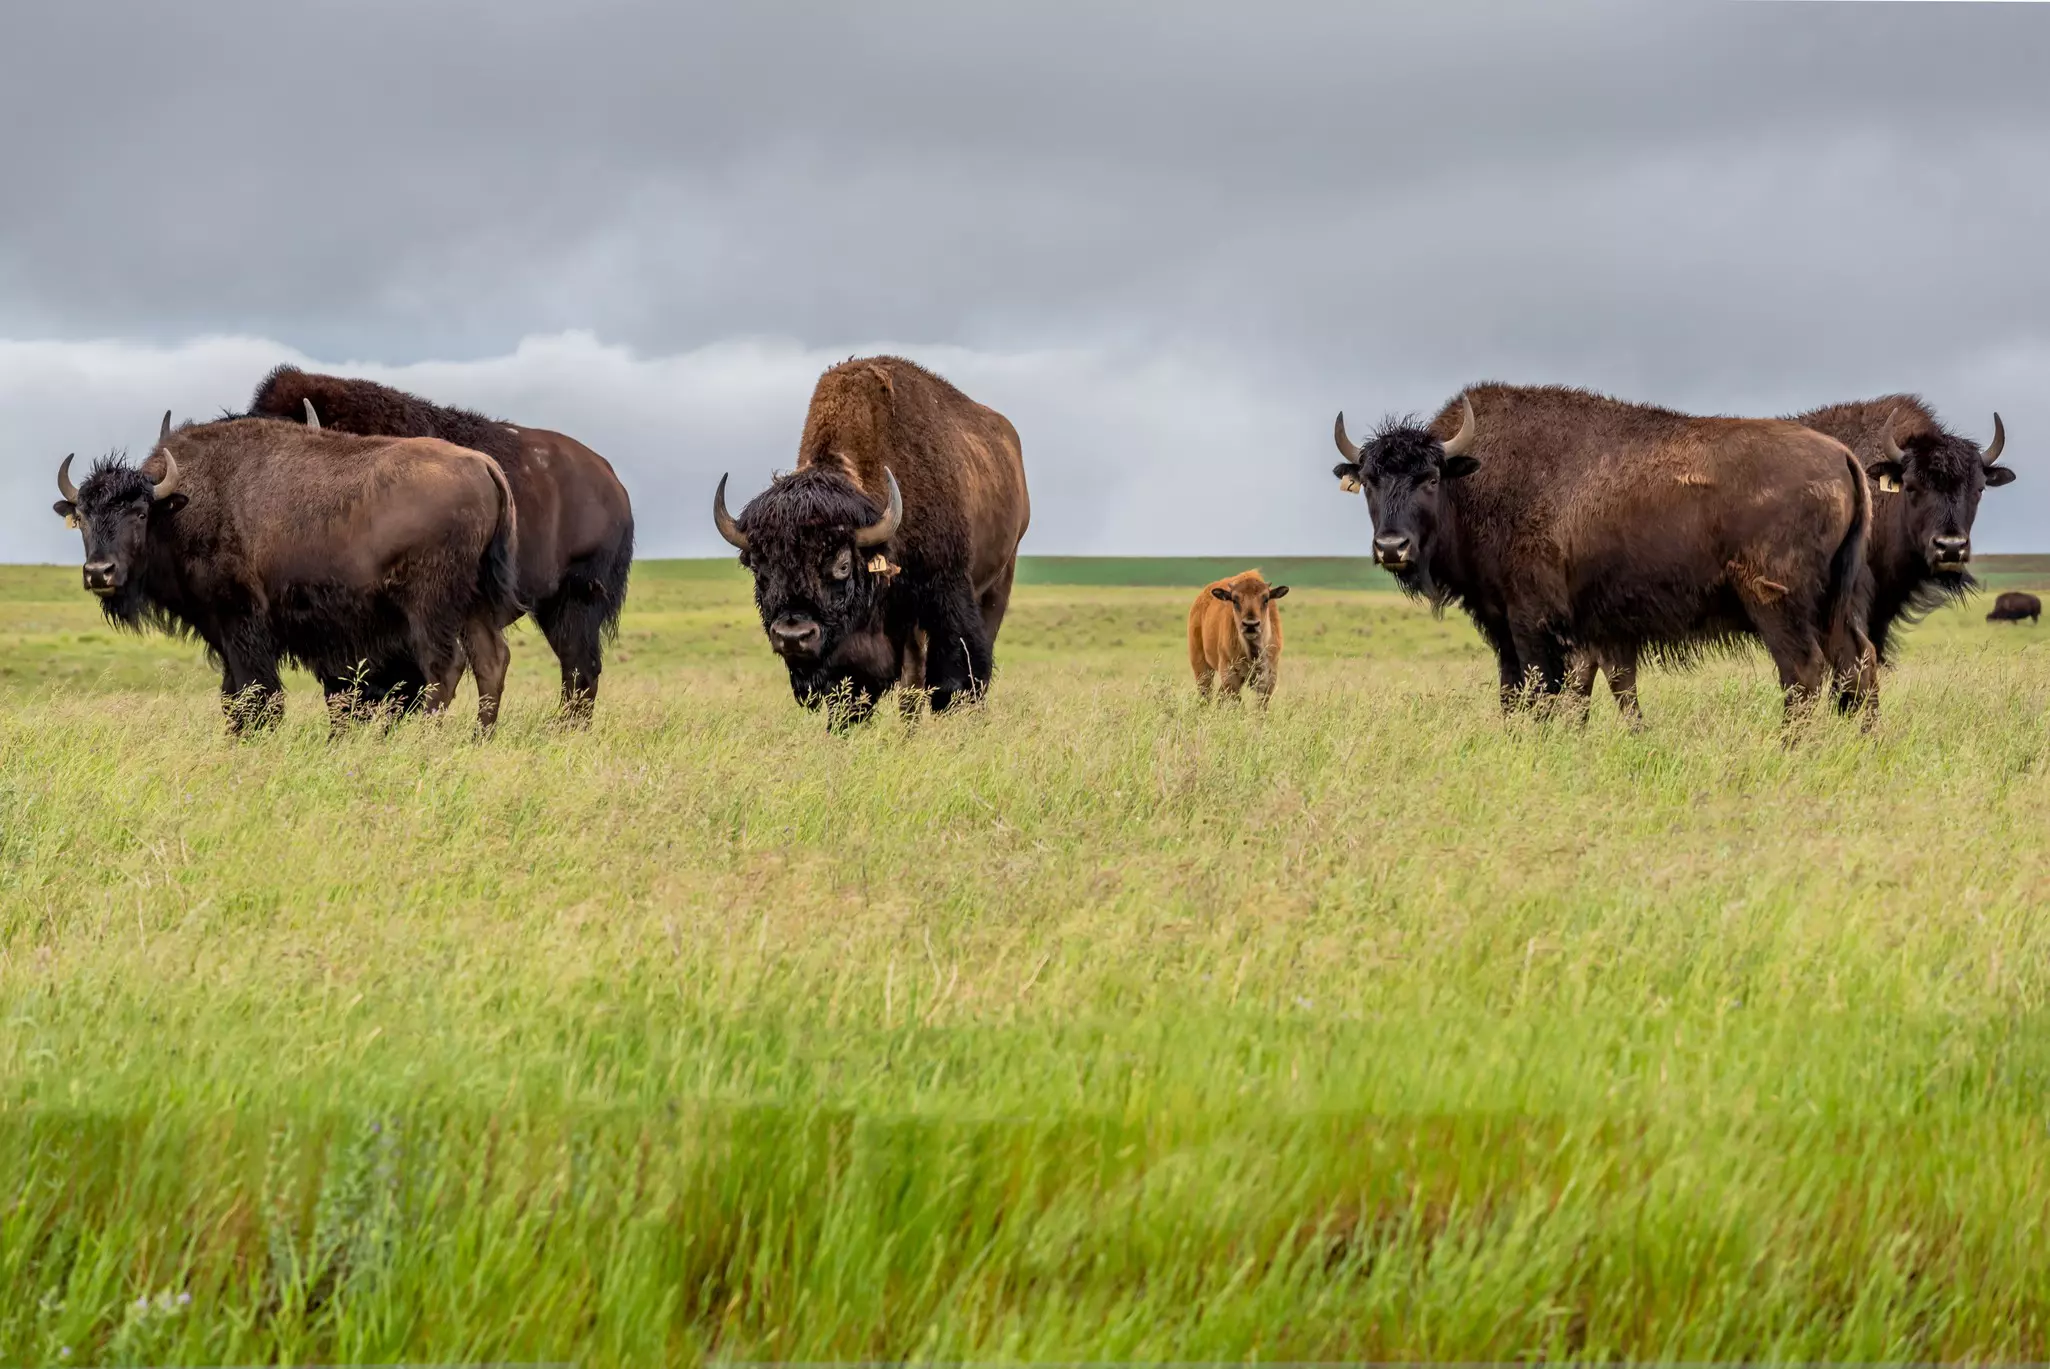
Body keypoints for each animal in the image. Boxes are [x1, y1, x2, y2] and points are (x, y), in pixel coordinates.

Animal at [52, 412, 521, 732]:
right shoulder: (225, 635)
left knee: (444, 668)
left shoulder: (241, 626)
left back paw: (426, 738)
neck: (183, 505)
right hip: (475, 602)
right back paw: (479, 739)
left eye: (139, 512)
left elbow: (255, 694)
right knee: (491, 661)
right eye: (83, 517)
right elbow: (233, 695)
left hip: (430, 606)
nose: (99, 572)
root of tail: (483, 465)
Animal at [713, 356, 1030, 725]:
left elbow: (953, 677)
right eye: (759, 568)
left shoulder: (946, 593)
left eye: (843, 564)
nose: (793, 636)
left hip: (1000, 576)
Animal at [1189, 569, 1288, 705]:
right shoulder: (1230, 675)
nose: (1250, 625)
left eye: (1266, 599)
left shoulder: (1268, 677)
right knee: (1206, 693)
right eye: (1234, 600)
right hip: (1201, 665)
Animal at [1331, 384, 1873, 722]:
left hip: (1776, 606)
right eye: (1370, 481)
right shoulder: (1517, 626)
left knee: (1803, 674)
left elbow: (1544, 694)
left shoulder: (1534, 624)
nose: (1392, 547)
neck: (1475, 480)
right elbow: (1522, 694)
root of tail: (1841, 456)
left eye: (1430, 478)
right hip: (1833, 605)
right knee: (1857, 663)